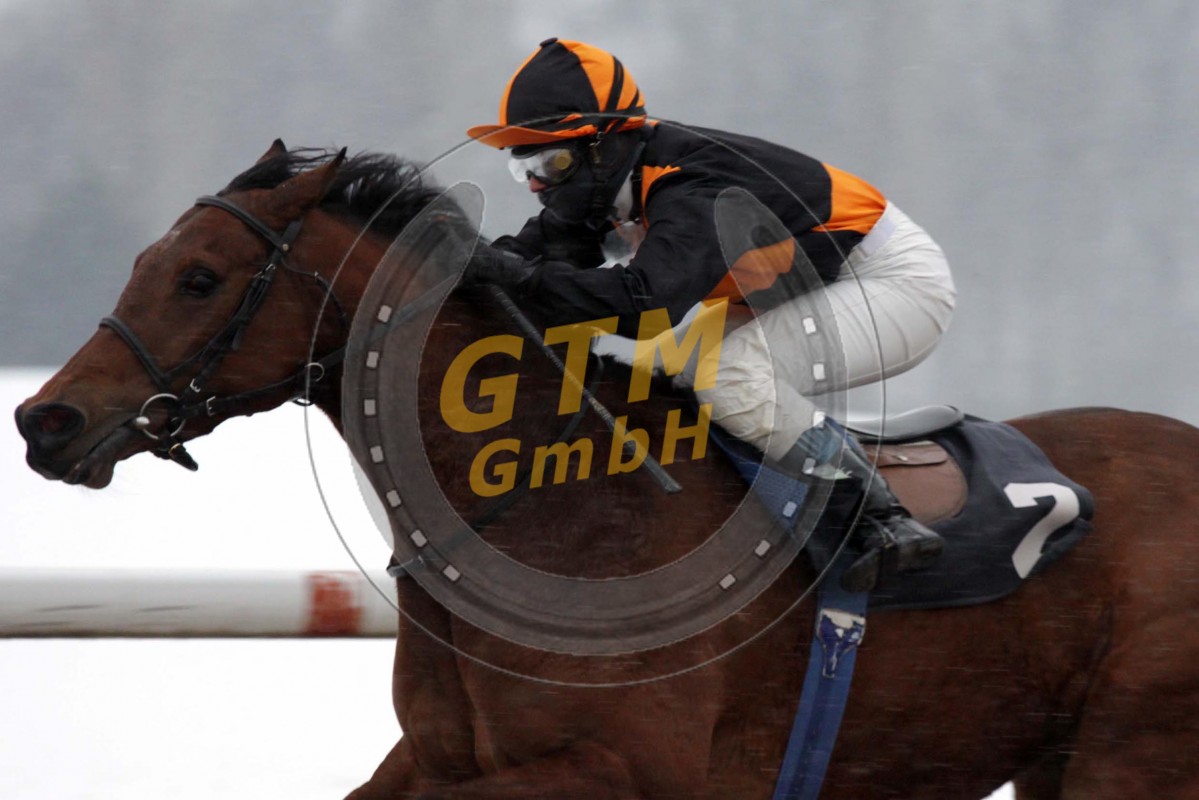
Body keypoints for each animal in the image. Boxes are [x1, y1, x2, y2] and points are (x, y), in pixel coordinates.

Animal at [15, 142, 1199, 799]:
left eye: (201, 277)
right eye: (146, 263)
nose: (43, 418)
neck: (552, 509)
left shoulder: (622, 768)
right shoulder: (436, 758)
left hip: (1130, 752)